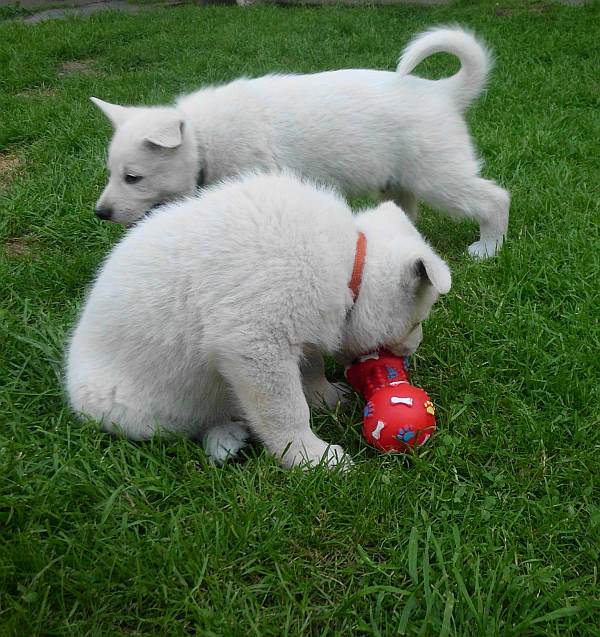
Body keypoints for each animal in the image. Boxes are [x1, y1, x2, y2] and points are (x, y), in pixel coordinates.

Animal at [65, 171, 450, 470]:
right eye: (416, 321)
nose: (410, 353)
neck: (347, 265)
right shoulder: (255, 344)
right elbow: (286, 411)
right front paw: (311, 458)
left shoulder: (299, 327)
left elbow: (310, 367)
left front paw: (324, 396)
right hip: (127, 410)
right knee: (187, 426)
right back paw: (224, 437)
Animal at [92, 24, 510, 258]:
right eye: (112, 173)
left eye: (133, 178)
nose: (100, 214)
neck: (202, 138)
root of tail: (443, 92)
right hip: (398, 179)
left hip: (437, 174)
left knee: (494, 198)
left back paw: (488, 249)